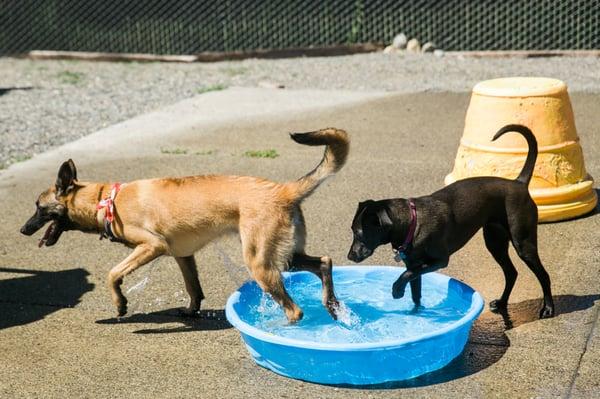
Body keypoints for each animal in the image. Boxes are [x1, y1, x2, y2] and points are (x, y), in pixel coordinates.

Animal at [21, 128, 350, 322]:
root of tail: (283, 190)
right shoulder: (183, 256)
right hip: (288, 255)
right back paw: (331, 304)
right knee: (324, 262)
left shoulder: (152, 246)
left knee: (295, 310)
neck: (107, 199)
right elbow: (194, 288)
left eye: (38, 207)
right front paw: (192, 311)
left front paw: (120, 304)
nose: (23, 230)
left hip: (260, 263)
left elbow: (113, 273)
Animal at [350, 124, 556, 318]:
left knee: (543, 275)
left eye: (359, 233)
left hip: (523, 243)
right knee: (511, 273)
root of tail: (519, 183)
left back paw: (548, 308)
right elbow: (414, 290)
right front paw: (416, 313)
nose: (350, 256)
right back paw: (502, 302)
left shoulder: (440, 261)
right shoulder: (414, 265)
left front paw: (397, 290)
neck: (413, 223)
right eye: (352, 230)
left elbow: (406, 275)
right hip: (495, 242)